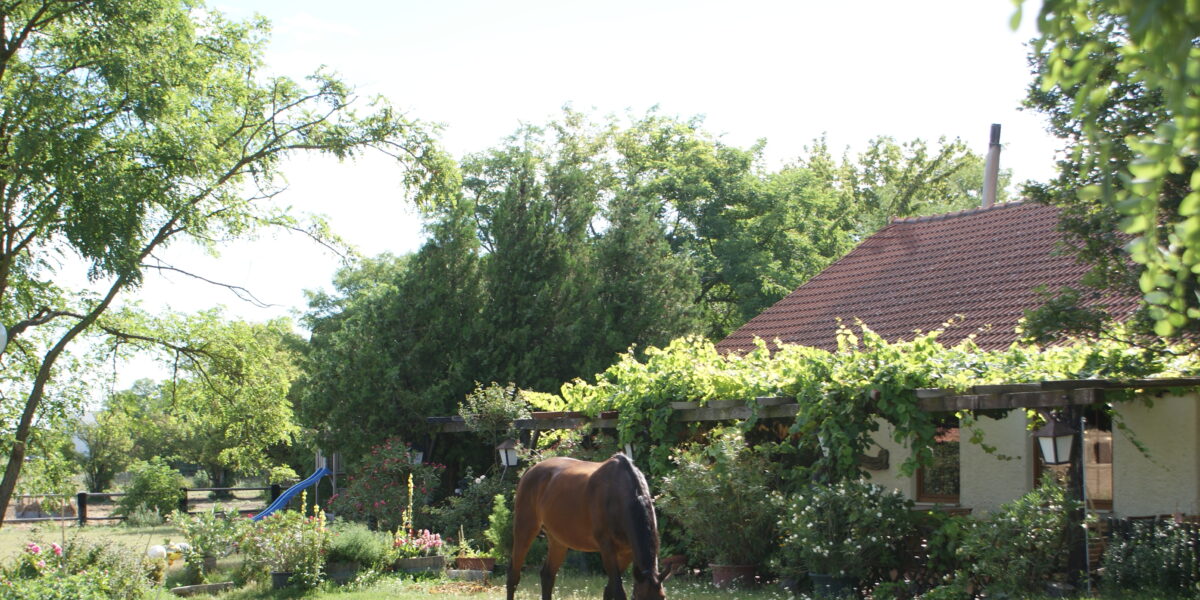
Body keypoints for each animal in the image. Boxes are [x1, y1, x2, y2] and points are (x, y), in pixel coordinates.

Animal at [507, 454, 667, 600]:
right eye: (639, 598)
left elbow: (609, 590)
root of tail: (530, 470)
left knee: (547, 576)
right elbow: (618, 591)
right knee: (513, 576)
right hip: (525, 529)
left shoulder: (626, 552)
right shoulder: (607, 548)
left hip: (558, 540)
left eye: (663, 597)